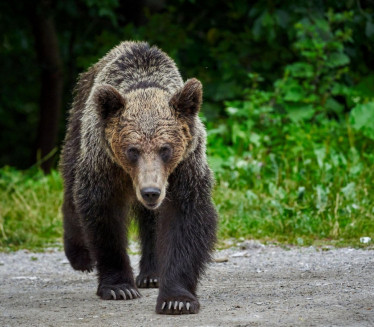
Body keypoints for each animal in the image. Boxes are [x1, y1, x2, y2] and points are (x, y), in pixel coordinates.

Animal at [59, 41, 218, 316]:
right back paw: (80, 256)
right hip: (77, 129)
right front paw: (119, 287)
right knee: (71, 185)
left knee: (151, 222)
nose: (150, 192)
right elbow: (103, 215)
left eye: (165, 149)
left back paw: (152, 274)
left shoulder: (184, 168)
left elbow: (185, 220)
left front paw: (177, 299)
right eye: (132, 150)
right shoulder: (105, 164)